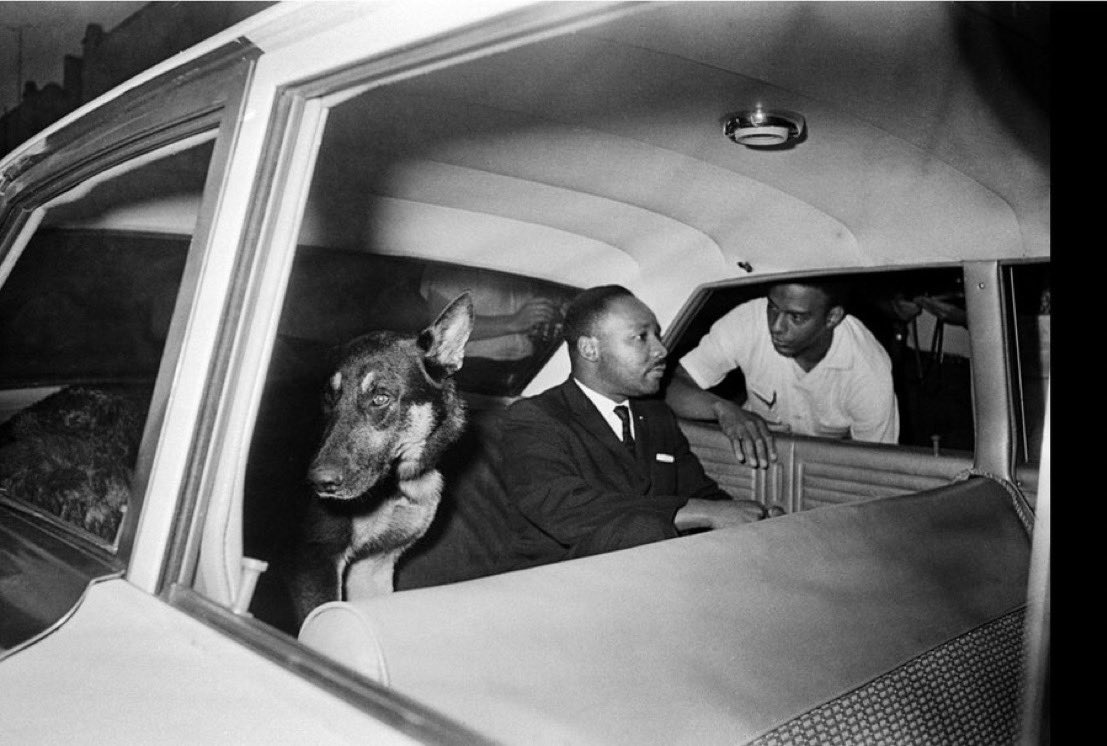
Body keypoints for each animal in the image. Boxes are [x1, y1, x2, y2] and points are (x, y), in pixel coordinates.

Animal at [287, 289, 473, 619]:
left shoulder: (373, 565)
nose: (318, 483)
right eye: (329, 397)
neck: (396, 484)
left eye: (380, 398)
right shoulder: (313, 563)